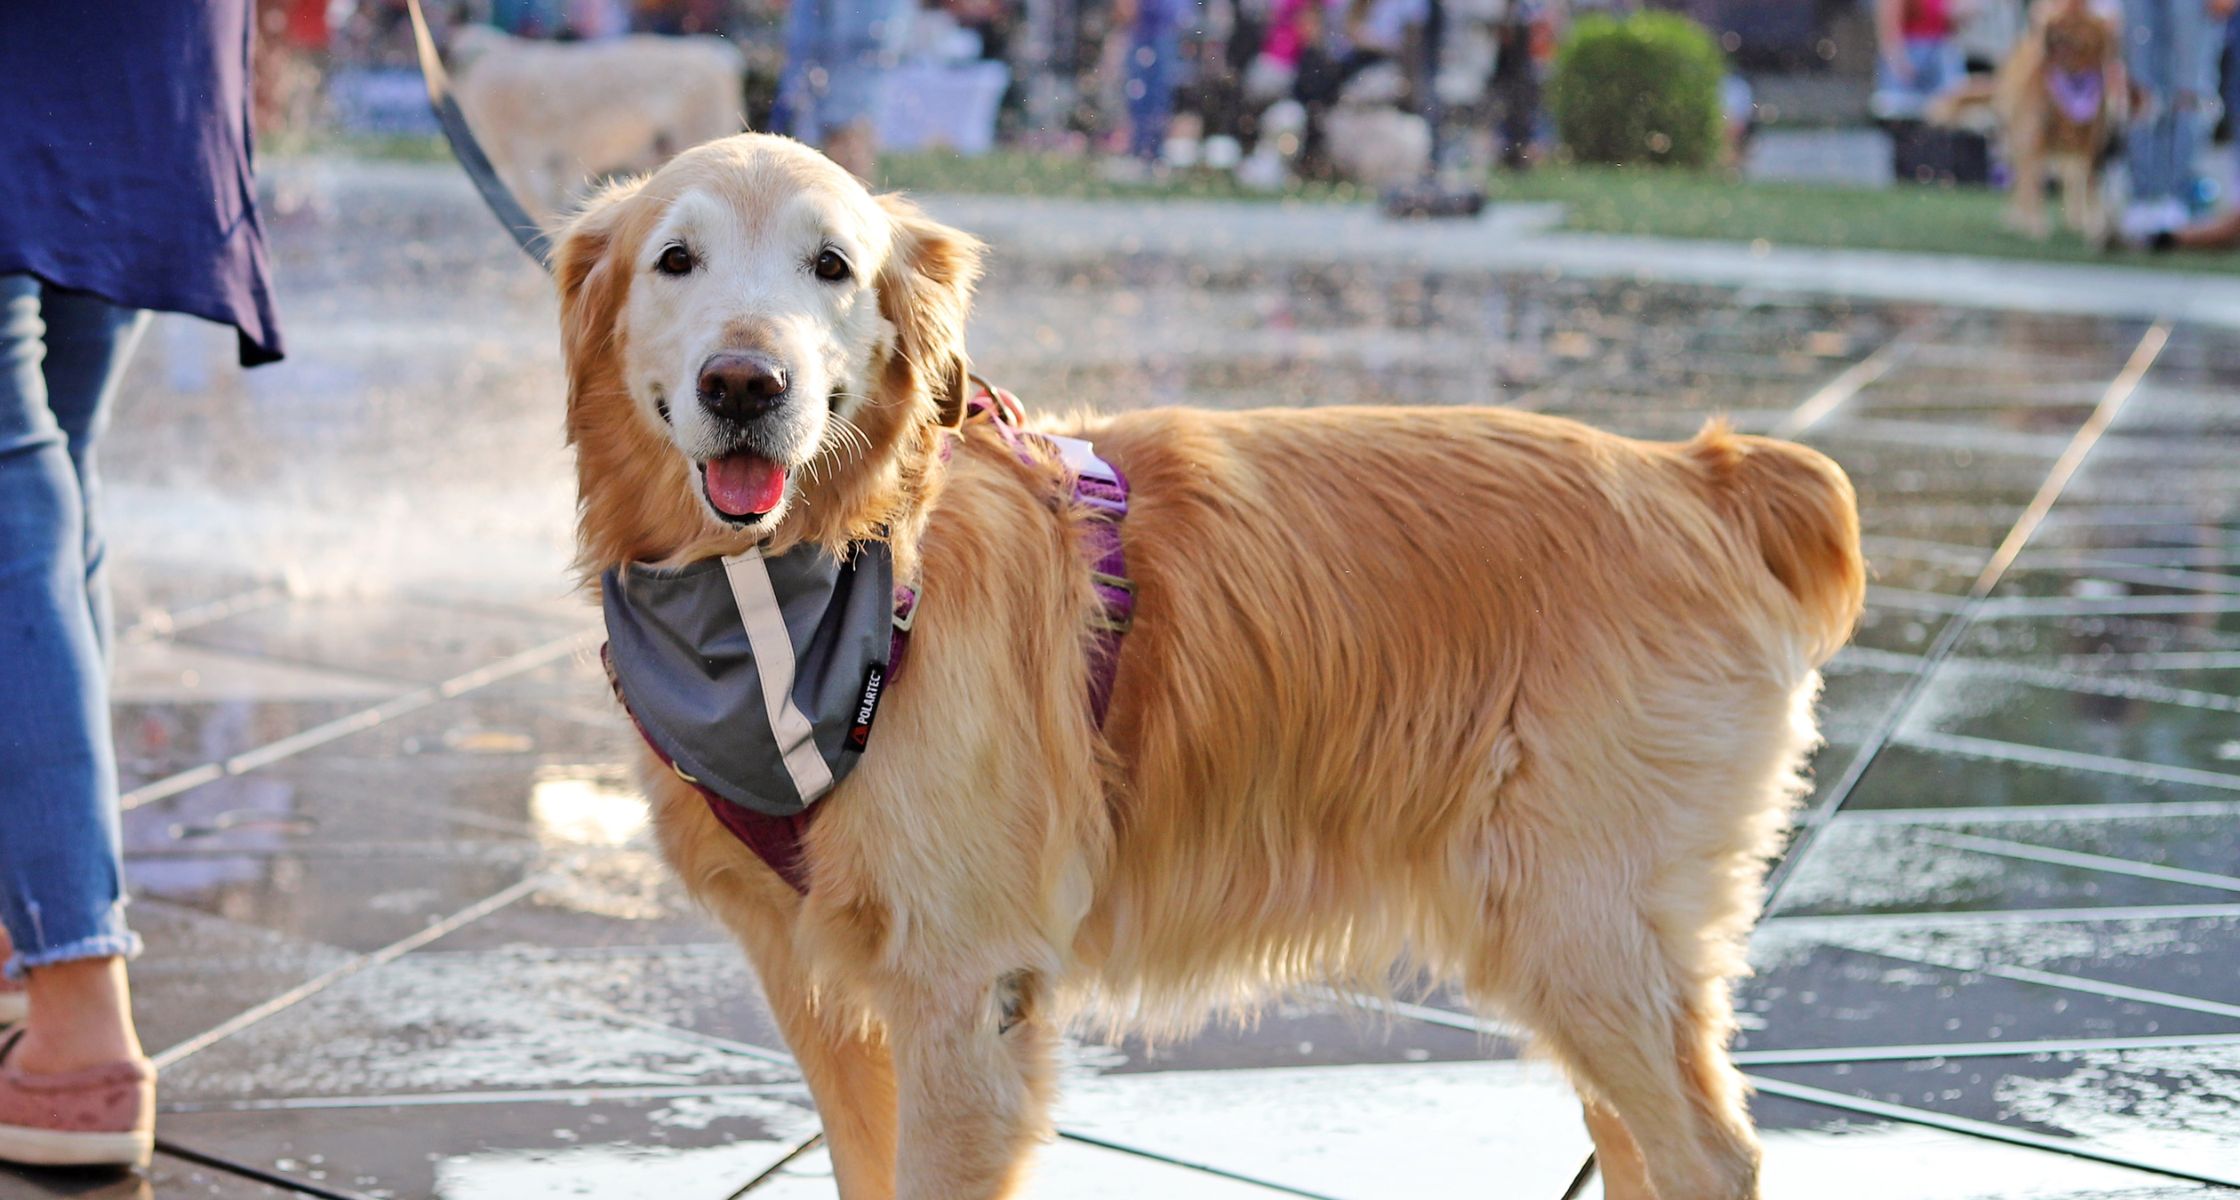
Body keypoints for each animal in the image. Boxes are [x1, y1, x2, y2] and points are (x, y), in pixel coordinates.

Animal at [551, 133, 1863, 1200]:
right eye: (676, 260)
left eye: (830, 266)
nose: (744, 385)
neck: (812, 588)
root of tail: (1696, 472)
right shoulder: (820, 988)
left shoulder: (966, 995)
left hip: (1579, 922)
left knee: (1710, 1150)